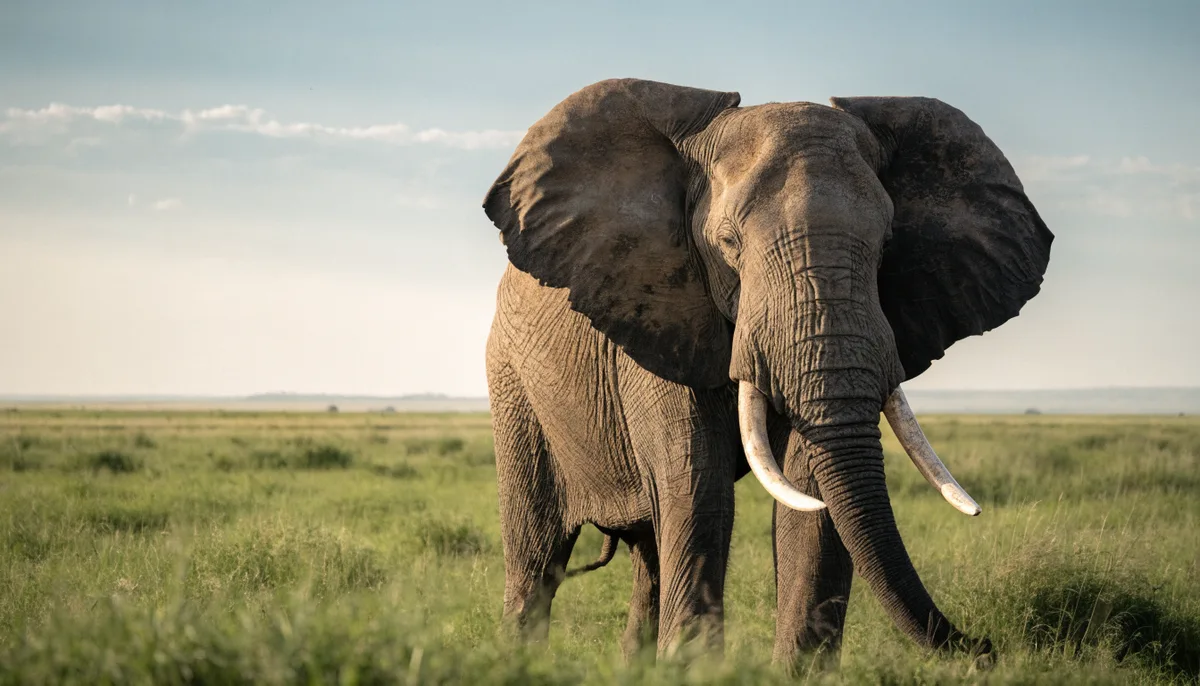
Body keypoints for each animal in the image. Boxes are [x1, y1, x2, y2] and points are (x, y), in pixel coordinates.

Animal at [481, 78, 1052, 667]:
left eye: (888, 244)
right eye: (729, 243)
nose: (985, 646)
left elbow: (810, 489)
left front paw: (798, 671)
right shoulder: (659, 309)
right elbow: (698, 481)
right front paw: (695, 671)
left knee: (646, 553)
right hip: (512, 383)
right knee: (536, 554)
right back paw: (519, 660)